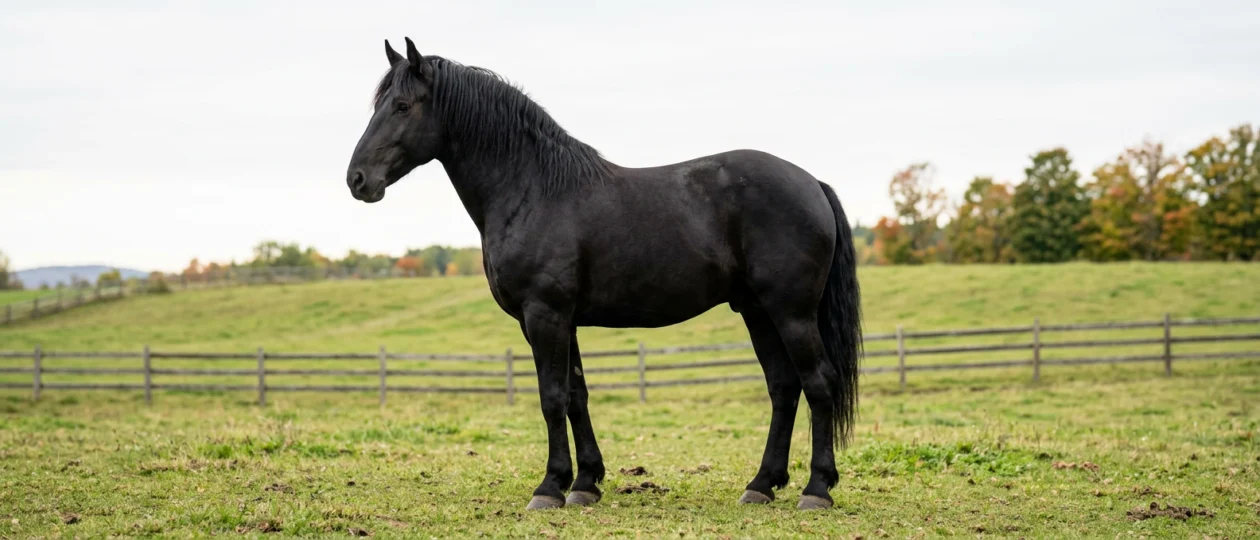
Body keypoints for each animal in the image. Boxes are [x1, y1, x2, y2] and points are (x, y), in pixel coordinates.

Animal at [345, 38, 863, 511]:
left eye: (402, 105)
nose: (357, 180)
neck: (532, 189)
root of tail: (812, 183)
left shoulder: (544, 315)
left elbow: (552, 396)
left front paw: (549, 488)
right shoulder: (561, 320)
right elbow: (577, 394)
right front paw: (585, 483)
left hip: (791, 312)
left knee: (818, 383)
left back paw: (817, 489)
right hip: (757, 311)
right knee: (784, 387)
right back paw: (761, 485)